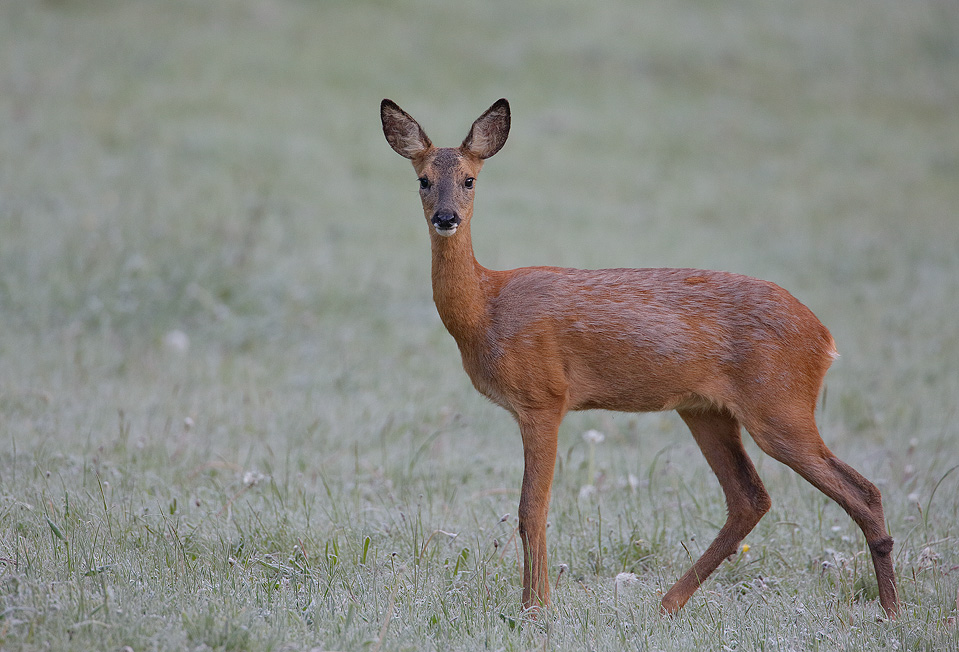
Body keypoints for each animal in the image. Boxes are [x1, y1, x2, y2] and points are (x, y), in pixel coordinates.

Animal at [380, 95, 900, 616]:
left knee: (863, 490)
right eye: (423, 179)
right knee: (751, 497)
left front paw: (536, 608)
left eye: (470, 179)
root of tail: (825, 338)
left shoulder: (544, 397)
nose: (446, 217)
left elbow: (532, 510)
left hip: (780, 404)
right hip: (706, 410)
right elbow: (530, 509)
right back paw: (667, 603)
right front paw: (535, 603)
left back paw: (892, 610)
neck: (486, 308)